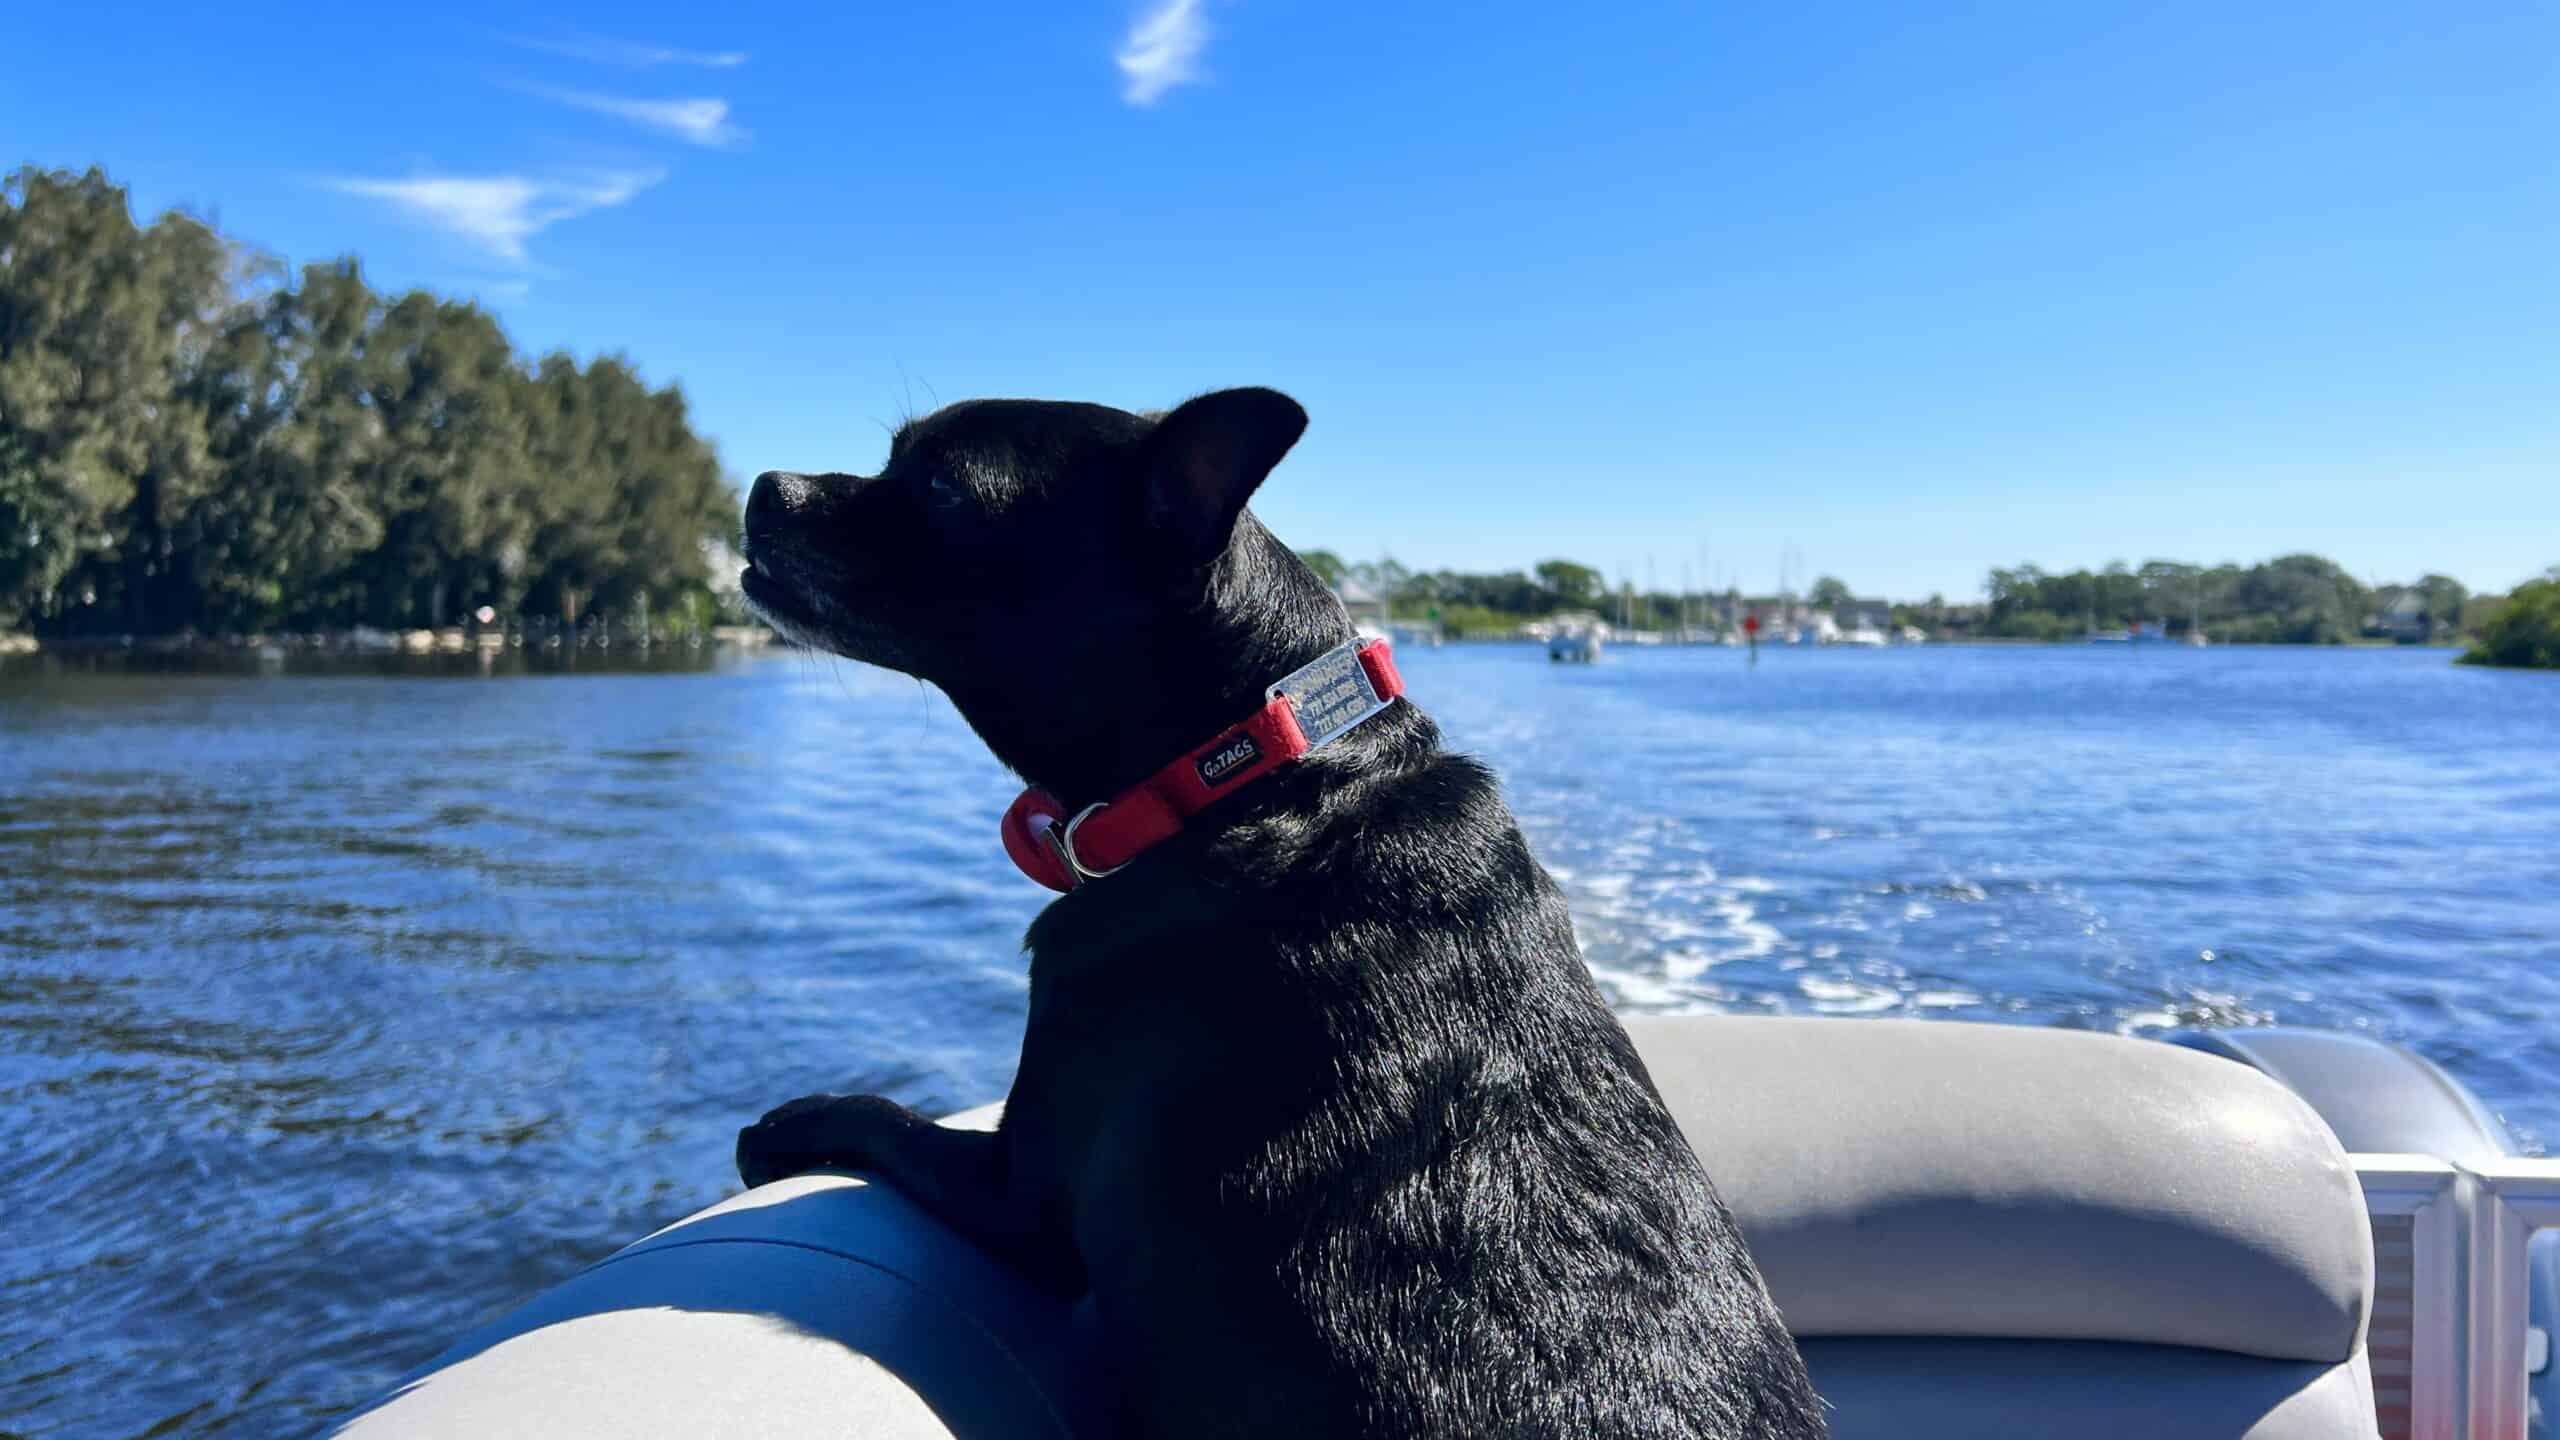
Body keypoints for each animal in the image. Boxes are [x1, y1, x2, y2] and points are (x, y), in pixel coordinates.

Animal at [732, 386, 1832, 1424]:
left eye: (941, 486)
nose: (763, 486)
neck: (1255, 781)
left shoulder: (1018, 1195)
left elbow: (885, 1119)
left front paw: (790, 1122)